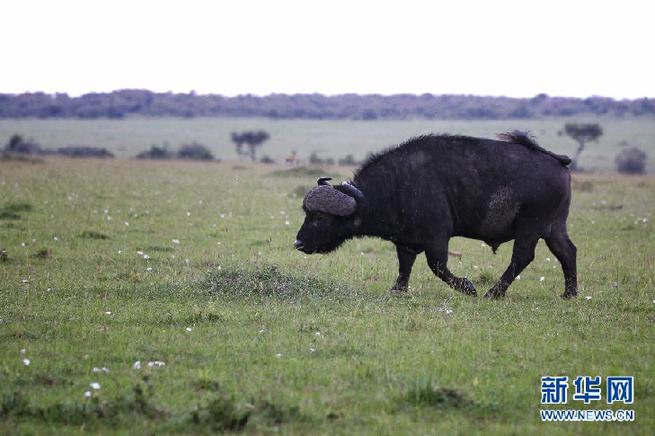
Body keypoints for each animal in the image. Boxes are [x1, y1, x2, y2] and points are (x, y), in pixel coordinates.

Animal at [298, 131, 580, 298]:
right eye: (306, 213)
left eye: (320, 218)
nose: (298, 242)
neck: (397, 185)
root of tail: (558, 162)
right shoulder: (406, 241)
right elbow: (404, 266)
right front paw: (397, 291)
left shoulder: (437, 237)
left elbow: (438, 267)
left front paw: (468, 287)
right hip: (554, 227)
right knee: (567, 252)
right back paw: (570, 293)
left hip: (530, 226)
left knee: (522, 257)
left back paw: (492, 293)